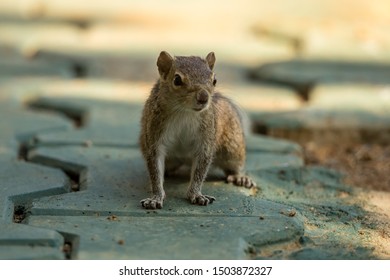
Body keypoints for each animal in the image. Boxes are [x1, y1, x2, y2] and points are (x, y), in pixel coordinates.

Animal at [139, 51, 256, 209]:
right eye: (177, 80)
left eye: (214, 80)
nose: (203, 97)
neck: (185, 112)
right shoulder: (155, 134)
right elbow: (155, 169)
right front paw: (156, 197)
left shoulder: (206, 138)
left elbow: (200, 169)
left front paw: (196, 194)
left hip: (232, 149)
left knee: (233, 166)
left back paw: (240, 177)